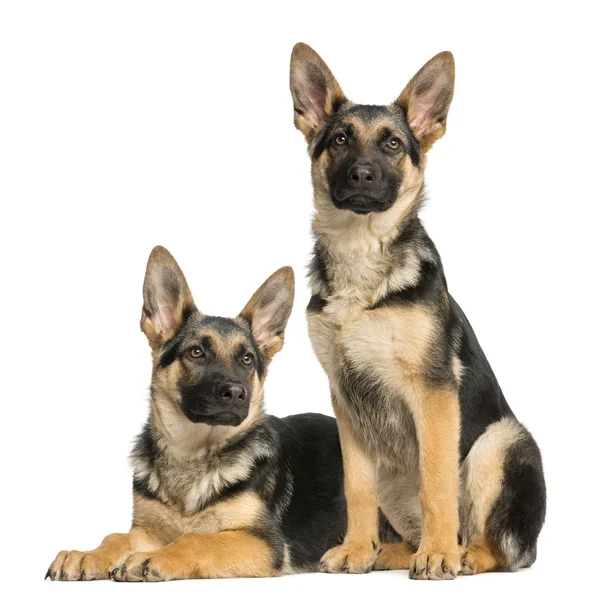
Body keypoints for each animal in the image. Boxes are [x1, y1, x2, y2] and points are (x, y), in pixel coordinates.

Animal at [47, 246, 354, 580]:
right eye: (196, 352)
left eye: (247, 359)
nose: (236, 394)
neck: (192, 454)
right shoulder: (148, 531)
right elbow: (115, 537)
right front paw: (86, 555)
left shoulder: (264, 542)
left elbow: (195, 538)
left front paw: (151, 559)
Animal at [288, 44, 544, 580]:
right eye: (340, 139)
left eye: (391, 144)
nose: (362, 176)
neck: (363, 258)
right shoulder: (345, 400)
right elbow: (356, 487)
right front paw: (357, 548)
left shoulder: (433, 392)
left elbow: (437, 480)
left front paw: (440, 553)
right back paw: (387, 552)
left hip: (499, 441)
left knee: (495, 547)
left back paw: (459, 553)